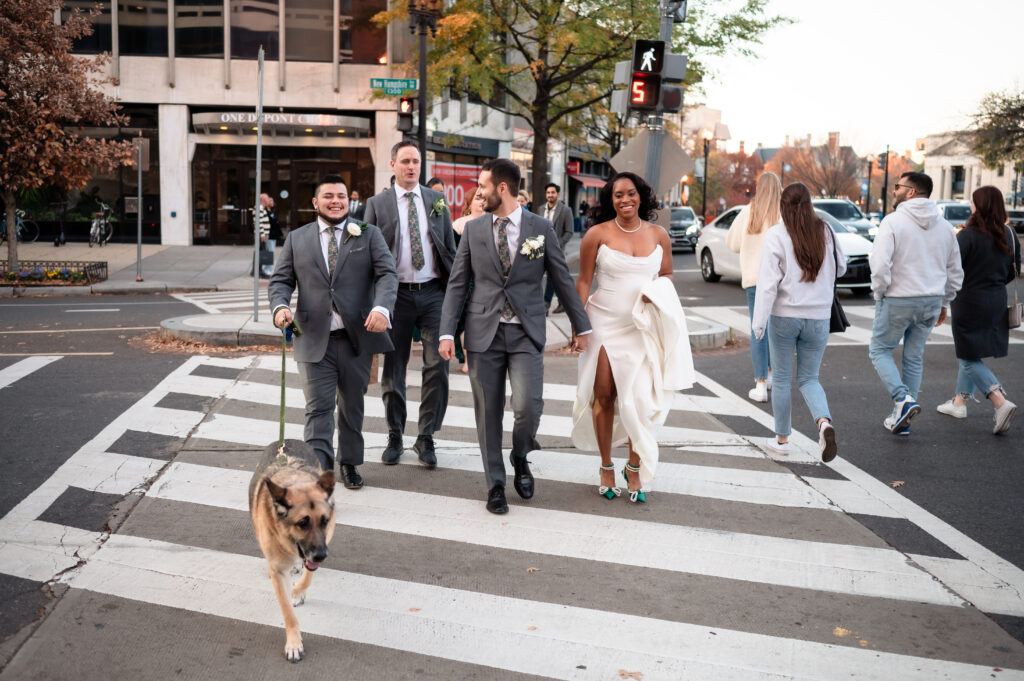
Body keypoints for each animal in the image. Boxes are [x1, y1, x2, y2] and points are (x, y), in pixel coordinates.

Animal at [248, 438, 335, 659]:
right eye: (302, 523)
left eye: (325, 521)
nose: (322, 556)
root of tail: (287, 439)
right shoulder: (278, 571)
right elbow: (288, 611)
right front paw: (294, 643)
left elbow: (308, 576)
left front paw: (297, 591)